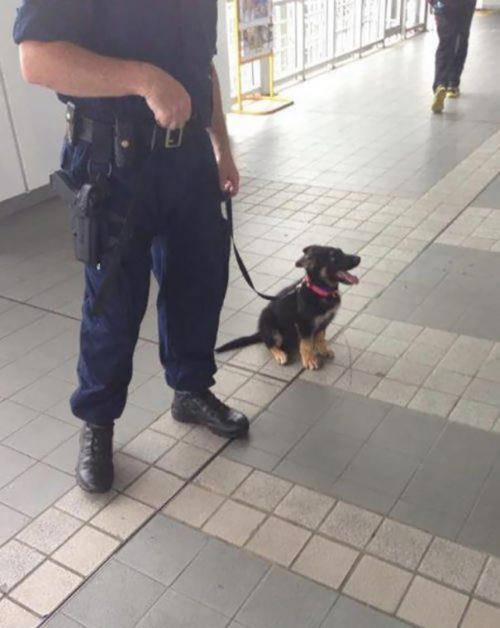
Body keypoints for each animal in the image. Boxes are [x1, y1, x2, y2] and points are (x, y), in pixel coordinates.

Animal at [217, 245, 362, 370]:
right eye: (333, 257)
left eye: (342, 252)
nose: (359, 258)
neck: (320, 291)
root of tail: (260, 332)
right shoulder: (304, 325)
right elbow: (306, 344)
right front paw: (309, 360)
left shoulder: (324, 321)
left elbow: (320, 337)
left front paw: (323, 349)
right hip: (272, 328)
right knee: (269, 344)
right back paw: (280, 354)